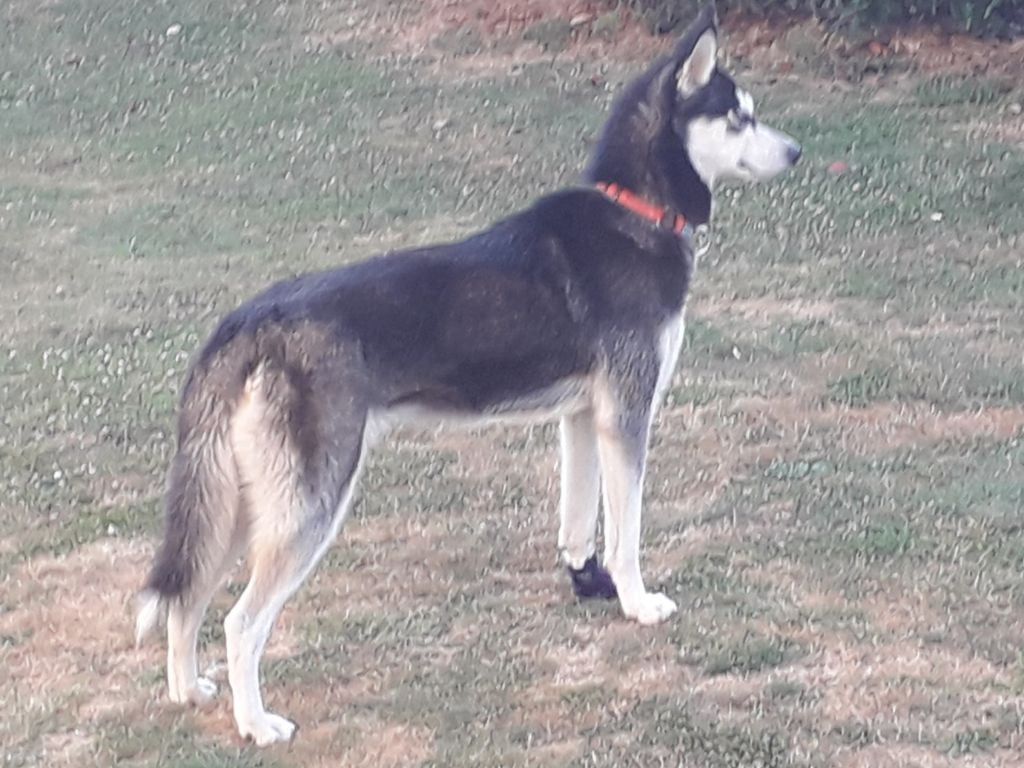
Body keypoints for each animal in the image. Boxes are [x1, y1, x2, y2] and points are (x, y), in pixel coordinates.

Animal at [134, 3, 800, 746]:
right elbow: (626, 534)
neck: (635, 209)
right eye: (739, 117)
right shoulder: (627, 415)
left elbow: (580, 523)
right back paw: (255, 724)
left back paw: (188, 690)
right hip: (306, 505)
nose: (797, 151)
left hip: (238, 501)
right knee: (240, 621)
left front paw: (588, 585)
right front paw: (636, 602)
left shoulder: (581, 418)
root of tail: (251, 319)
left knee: (186, 598)